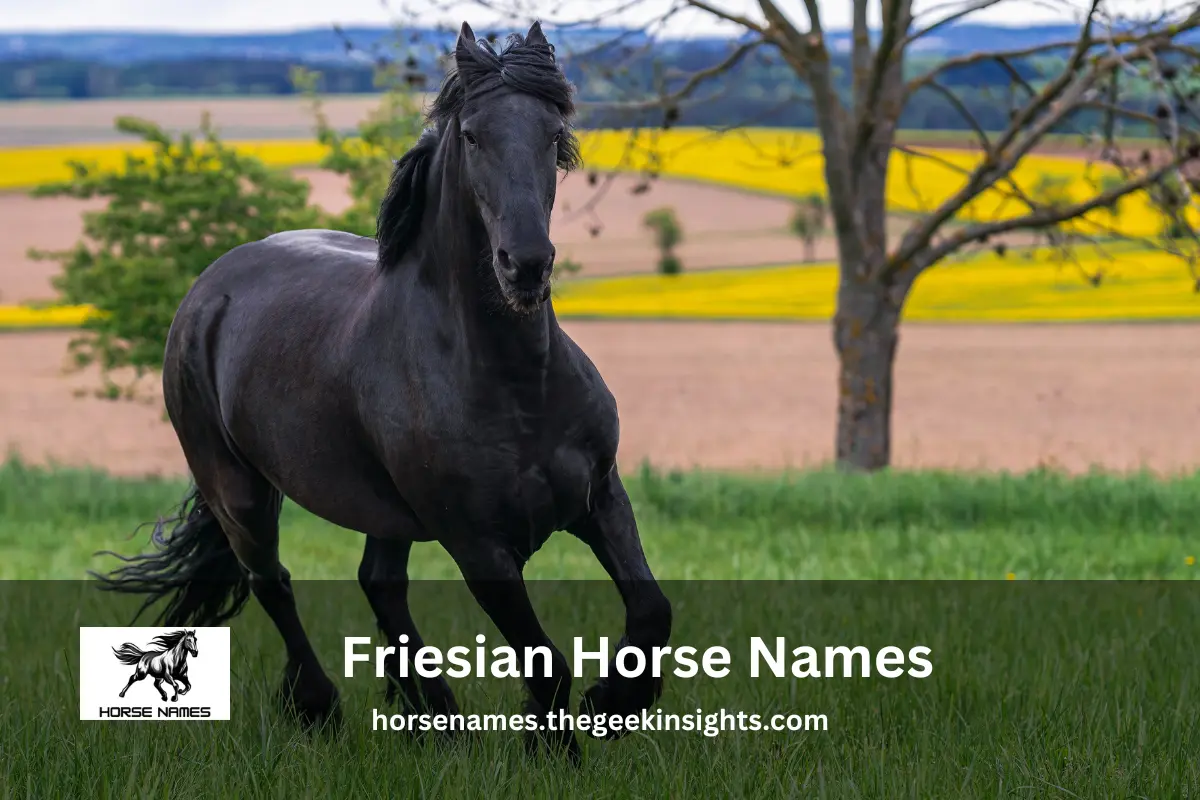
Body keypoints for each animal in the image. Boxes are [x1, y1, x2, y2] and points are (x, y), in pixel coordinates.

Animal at [92, 21, 672, 760]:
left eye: (552, 134)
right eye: (474, 135)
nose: (526, 266)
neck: (516, 382)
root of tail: (210, 288)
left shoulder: (599, 497)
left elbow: (651, 610)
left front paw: (616, 702)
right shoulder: (478, 546)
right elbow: (545, 662)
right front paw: (560, 749)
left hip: (383, 508)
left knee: (380, 585)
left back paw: (433, 715)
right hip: (239, 489)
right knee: (272, 582)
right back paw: (321, 707)